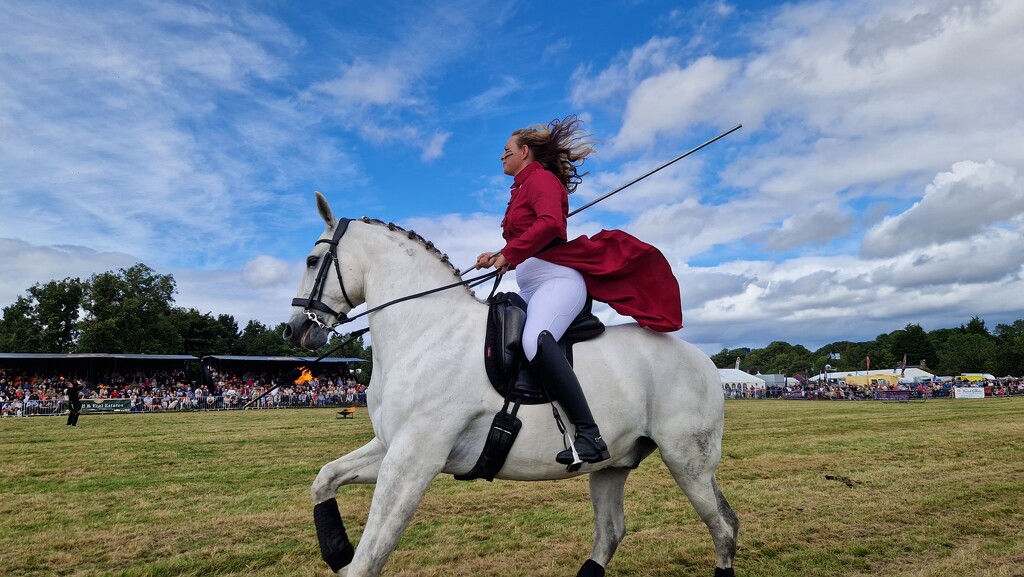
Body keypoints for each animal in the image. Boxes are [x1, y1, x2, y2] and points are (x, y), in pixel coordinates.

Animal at [284, 193, 741, 577]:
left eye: (310, 260)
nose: (294, 331)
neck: (427, 330)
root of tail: (702, 359)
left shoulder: (414, 458)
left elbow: (370, 557)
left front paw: (348, 556)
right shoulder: (391, 447)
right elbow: (325, 478)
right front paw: (337, 552)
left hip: (688, 460)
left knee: (723, 526)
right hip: (613, 466)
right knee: (611, 531)